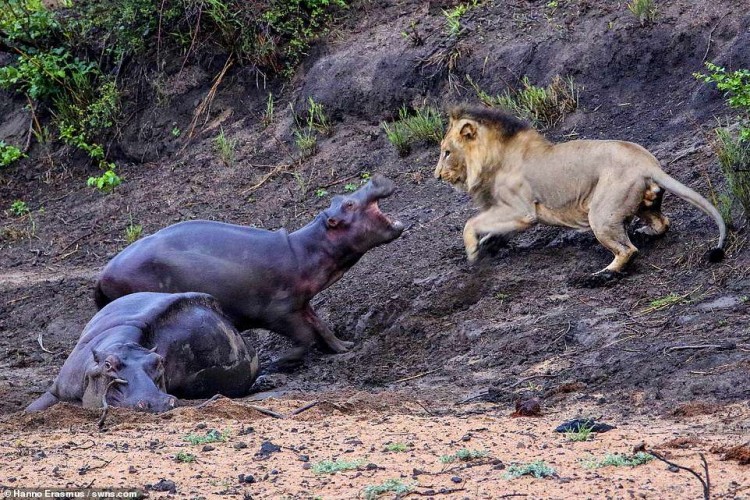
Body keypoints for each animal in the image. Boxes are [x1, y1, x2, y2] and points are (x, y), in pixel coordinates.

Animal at [95, 174, 406, 370]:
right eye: (349, 204)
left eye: (341, 196)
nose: (374, 179)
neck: (306, 249)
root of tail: (102, 274)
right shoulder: (278, 310)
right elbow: (305, 337)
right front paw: (278, 363)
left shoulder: (301, 303)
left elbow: (320, 325)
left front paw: (344, 346)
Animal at [434, 106, 728, 276]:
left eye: (446, 152)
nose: (437, 175)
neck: (492, 158)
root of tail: (649, 164)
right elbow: (491, 228)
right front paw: (487, 244)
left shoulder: (521, 210)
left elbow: (471, 223)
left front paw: (473, 252)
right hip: (641, 204)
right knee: (662, 222)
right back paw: (645, 232)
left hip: (601, 214)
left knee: (628, 251)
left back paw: (601, 276)